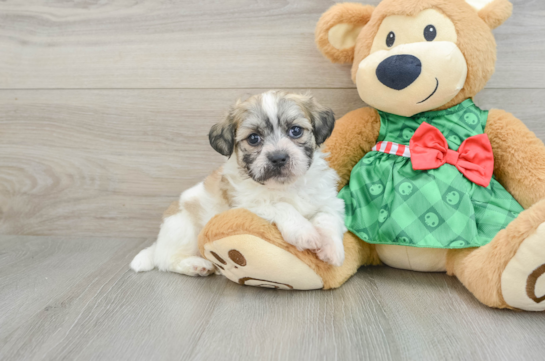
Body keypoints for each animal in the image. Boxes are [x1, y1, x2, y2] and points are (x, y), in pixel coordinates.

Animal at [130, 90, 346, 276]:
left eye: (295, 131)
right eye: (253, 138)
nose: (278, 157)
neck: (285, 187)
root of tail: (159, 240)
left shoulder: (329, 201)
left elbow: (327, 217)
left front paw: (332, 249)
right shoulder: (246, 204)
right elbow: (280, 205)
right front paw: (304, 232)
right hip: (183, 229)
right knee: (165, 259)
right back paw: (197, 265)